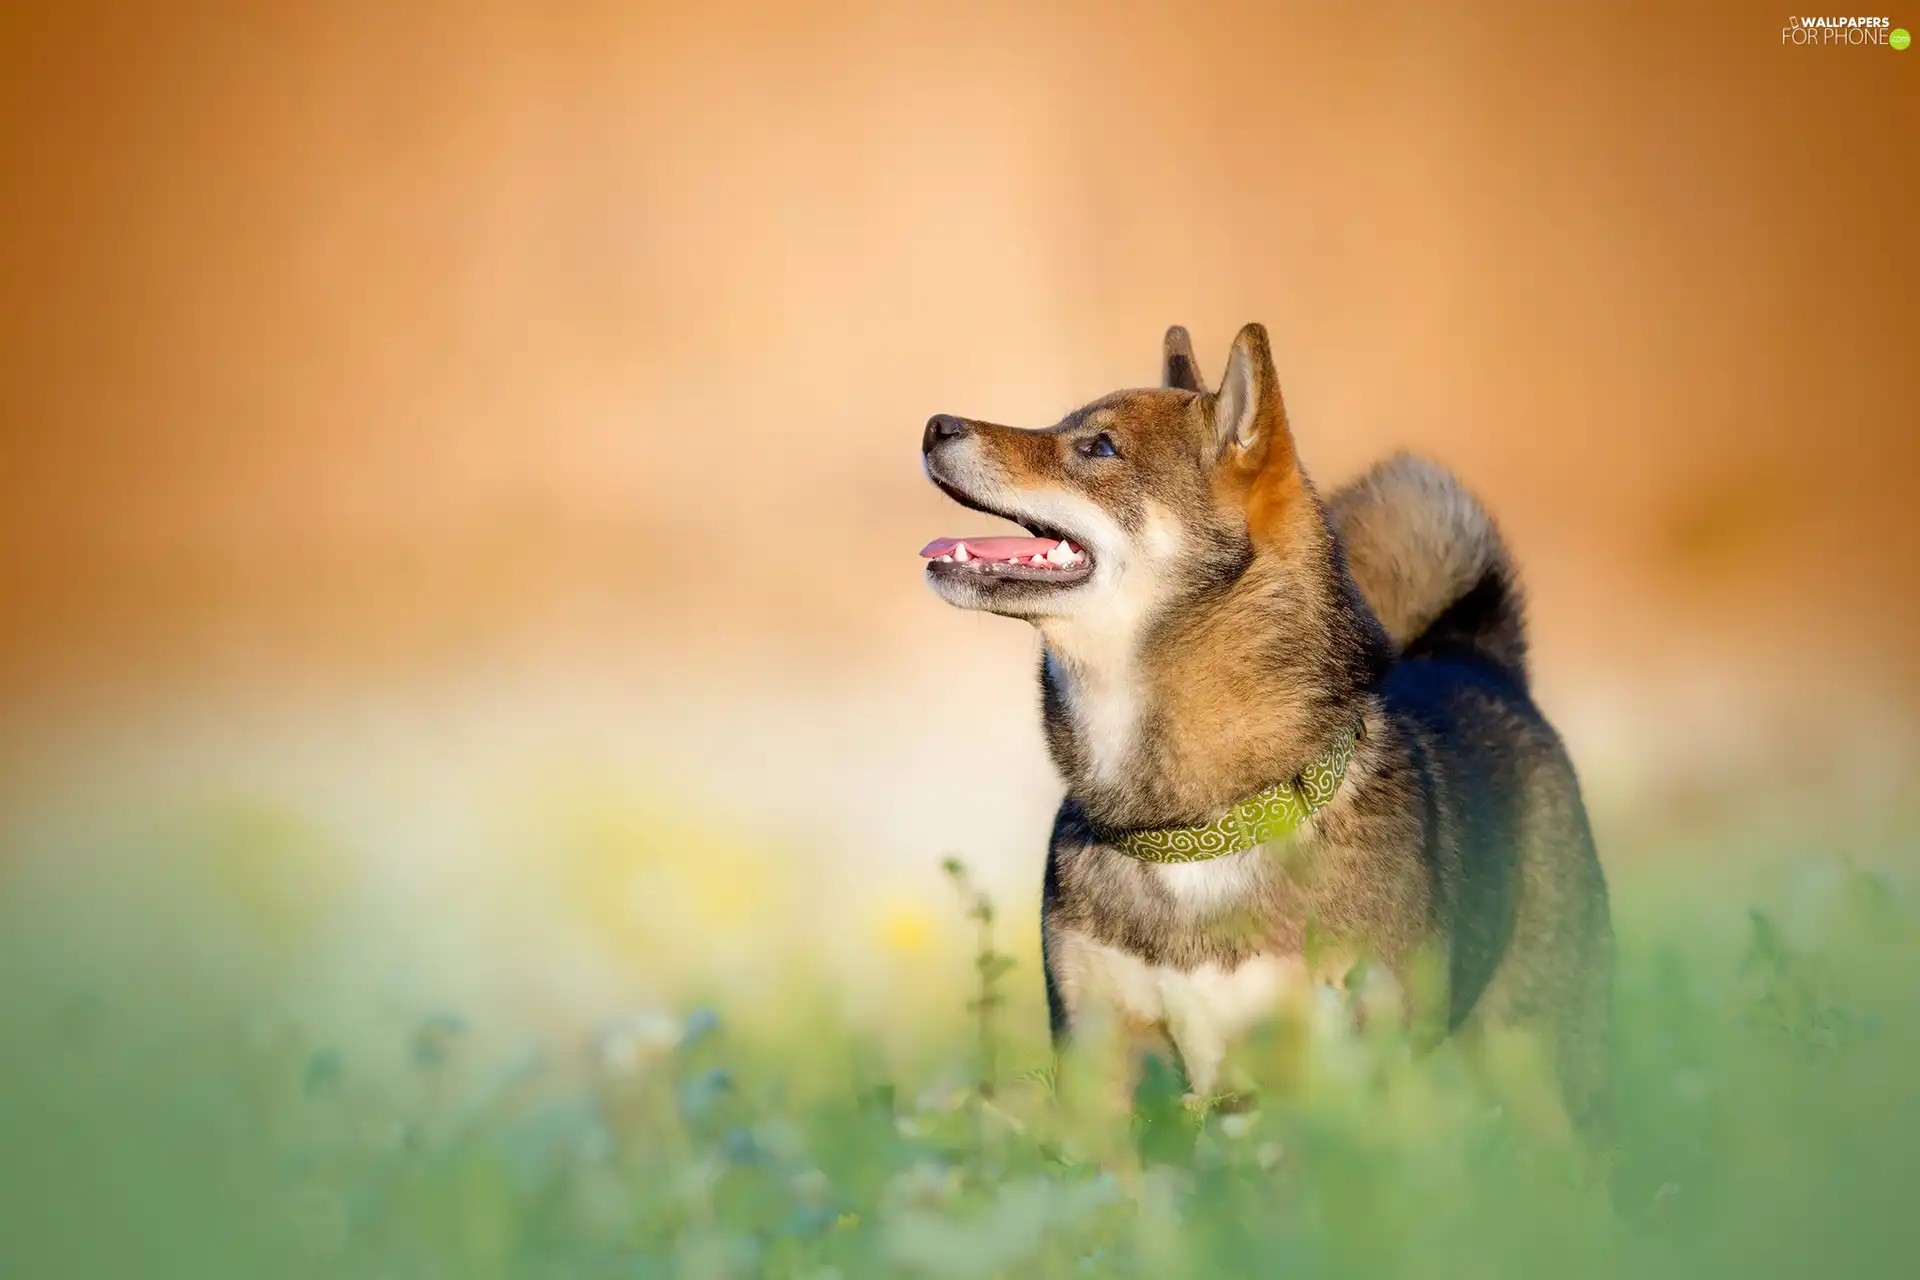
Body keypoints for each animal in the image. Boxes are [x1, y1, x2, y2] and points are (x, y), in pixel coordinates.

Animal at [921, 326, 1612, 1143]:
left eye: (1099, 447)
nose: (935, 425)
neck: (1192, 827)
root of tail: (1477, 657)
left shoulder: (1317, 1067)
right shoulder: (1101, 1061)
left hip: (1540, 1063)